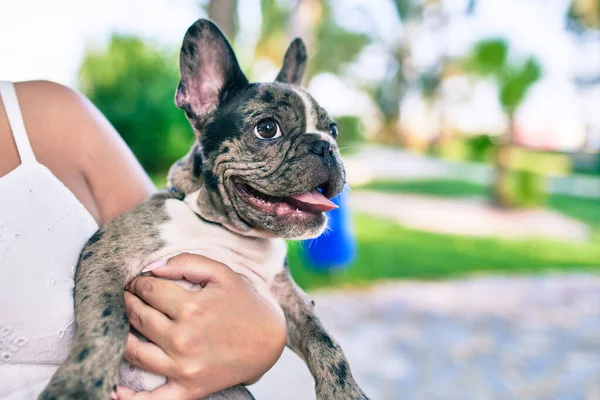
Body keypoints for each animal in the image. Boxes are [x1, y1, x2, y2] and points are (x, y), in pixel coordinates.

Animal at [39, 17, 368, 398]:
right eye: (267, 128)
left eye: (334, 129)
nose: (325, 146)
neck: (221, 227)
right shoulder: (108, 255)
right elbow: (108, 320)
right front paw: (80, 384)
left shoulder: (285, 294)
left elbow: (323, 338)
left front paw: (344, 391)